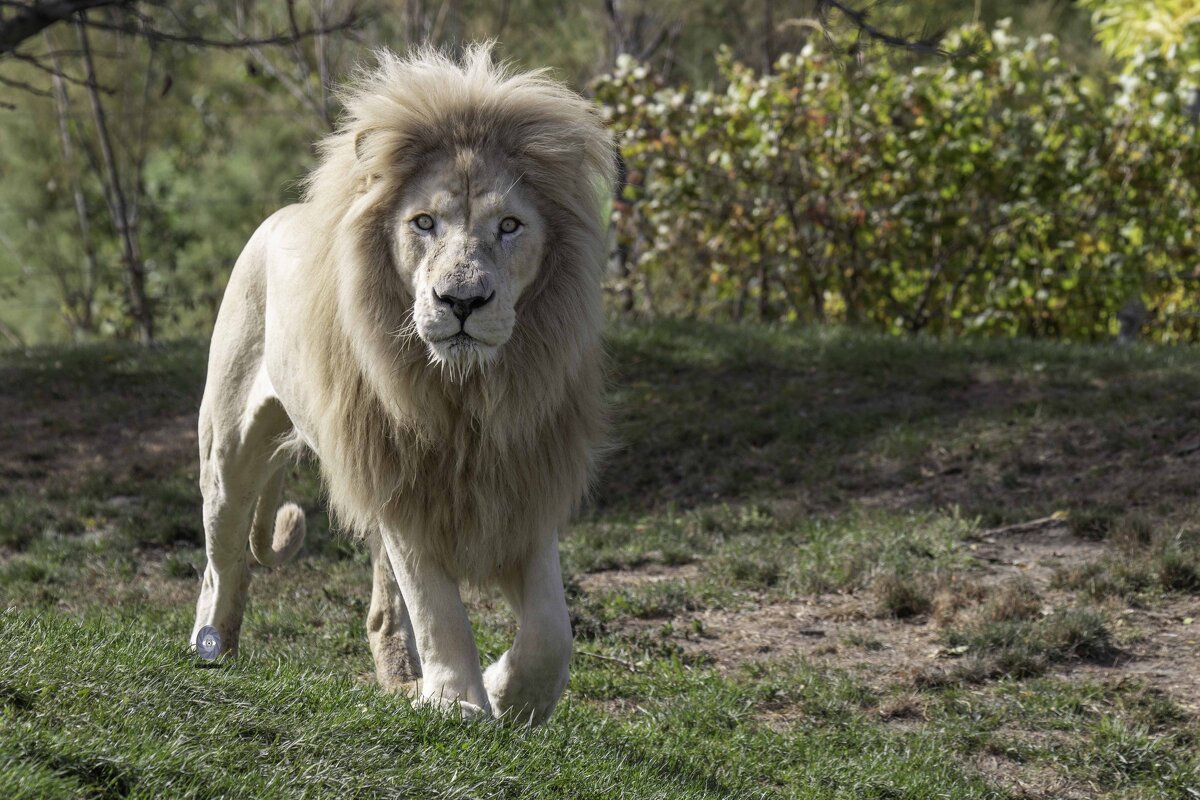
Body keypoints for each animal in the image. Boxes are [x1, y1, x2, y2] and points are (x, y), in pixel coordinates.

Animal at [190, 45, 614, 725]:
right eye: (424, 223)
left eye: (510, 226)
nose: (461, 300)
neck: (465, 396)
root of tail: (281, 214)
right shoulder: (404, 486)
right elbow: (438, 609)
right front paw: (462, 701)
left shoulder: (523, 486)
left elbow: (552, 633)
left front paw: (504, 694)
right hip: (229, 450)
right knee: (221, 564)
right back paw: (214, 649)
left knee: (383, 608)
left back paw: (403, 683)